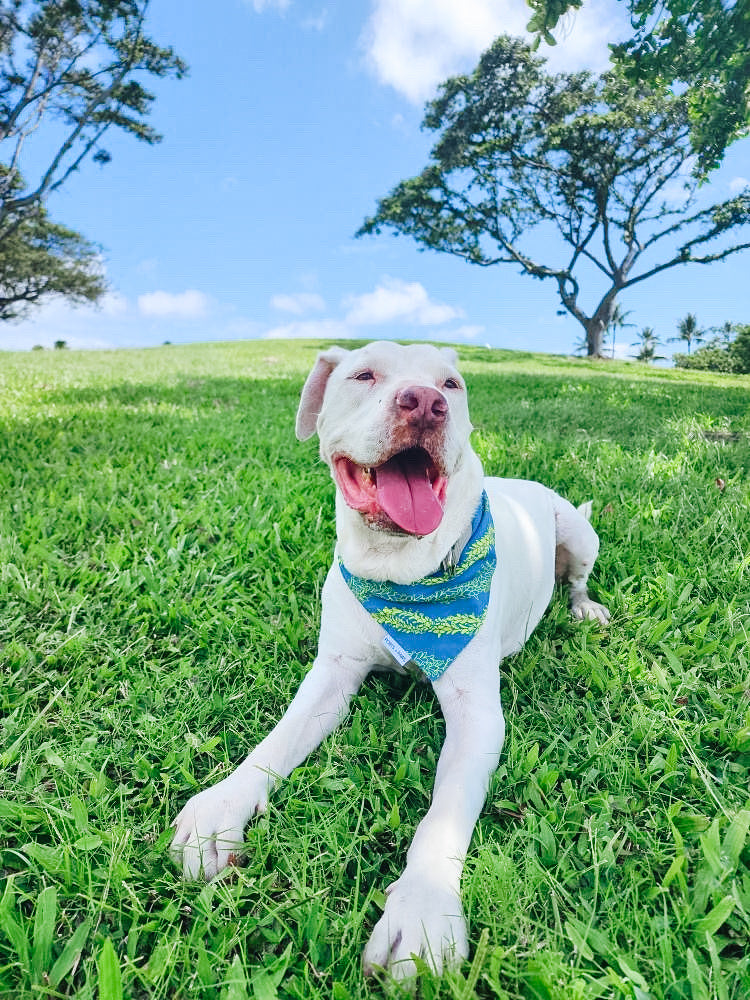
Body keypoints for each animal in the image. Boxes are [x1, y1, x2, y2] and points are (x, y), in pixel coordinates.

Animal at [172, 342, 612, 976]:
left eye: (451, 385)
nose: (425, 403)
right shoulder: (331, 674)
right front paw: (221, 807)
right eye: (363, 374)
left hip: (577, 533)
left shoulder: (478, 714)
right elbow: (276, 742)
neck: (400, 572)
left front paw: (424, 909)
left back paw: (584, 609)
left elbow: (446, 811)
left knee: (576, 579)